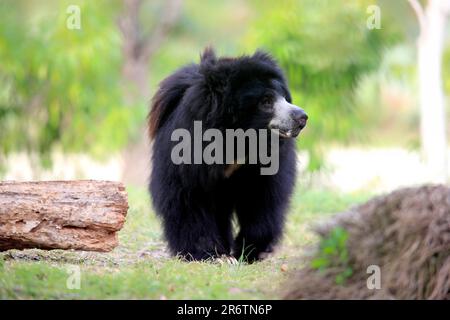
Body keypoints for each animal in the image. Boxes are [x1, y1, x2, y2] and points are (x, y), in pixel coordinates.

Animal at [148, 48, 306, 262]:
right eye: (266, 101)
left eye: (285, 97)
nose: (302, 117)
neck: (239, 141)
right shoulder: (187, 155)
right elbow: (188, 199)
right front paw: (205, 253)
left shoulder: (269, 162)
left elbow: (263, 199)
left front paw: (248, 251)